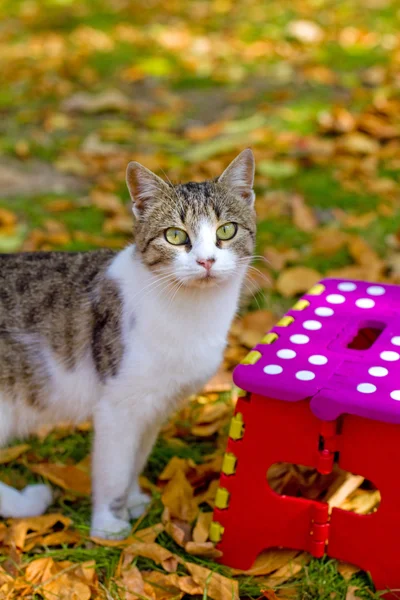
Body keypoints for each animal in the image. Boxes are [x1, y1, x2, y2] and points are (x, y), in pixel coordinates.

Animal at [0, 146, 256, 540]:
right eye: (175, 236)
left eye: (226, 231)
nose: (206, 261)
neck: (191, 312)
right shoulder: (118, 406)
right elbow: (114, 470)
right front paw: (107, 525)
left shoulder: (155, 404)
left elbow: (136, 459)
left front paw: (133, 500)